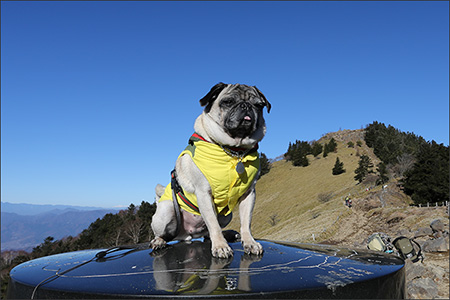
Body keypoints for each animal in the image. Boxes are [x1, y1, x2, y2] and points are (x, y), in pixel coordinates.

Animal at [151, 82, 270, 258]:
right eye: (228, 102)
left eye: (258, 105)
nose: (246, 105)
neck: (234, 151)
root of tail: (188, 235)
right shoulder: (203, 193)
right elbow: (213, 223)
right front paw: (220, 246)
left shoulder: (249, 194)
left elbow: (246, 223)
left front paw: (249, 242)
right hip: (167, 209)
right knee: (166, 234)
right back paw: (159, 241)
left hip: (227, 214)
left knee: (208, 233)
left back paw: (228, 234)